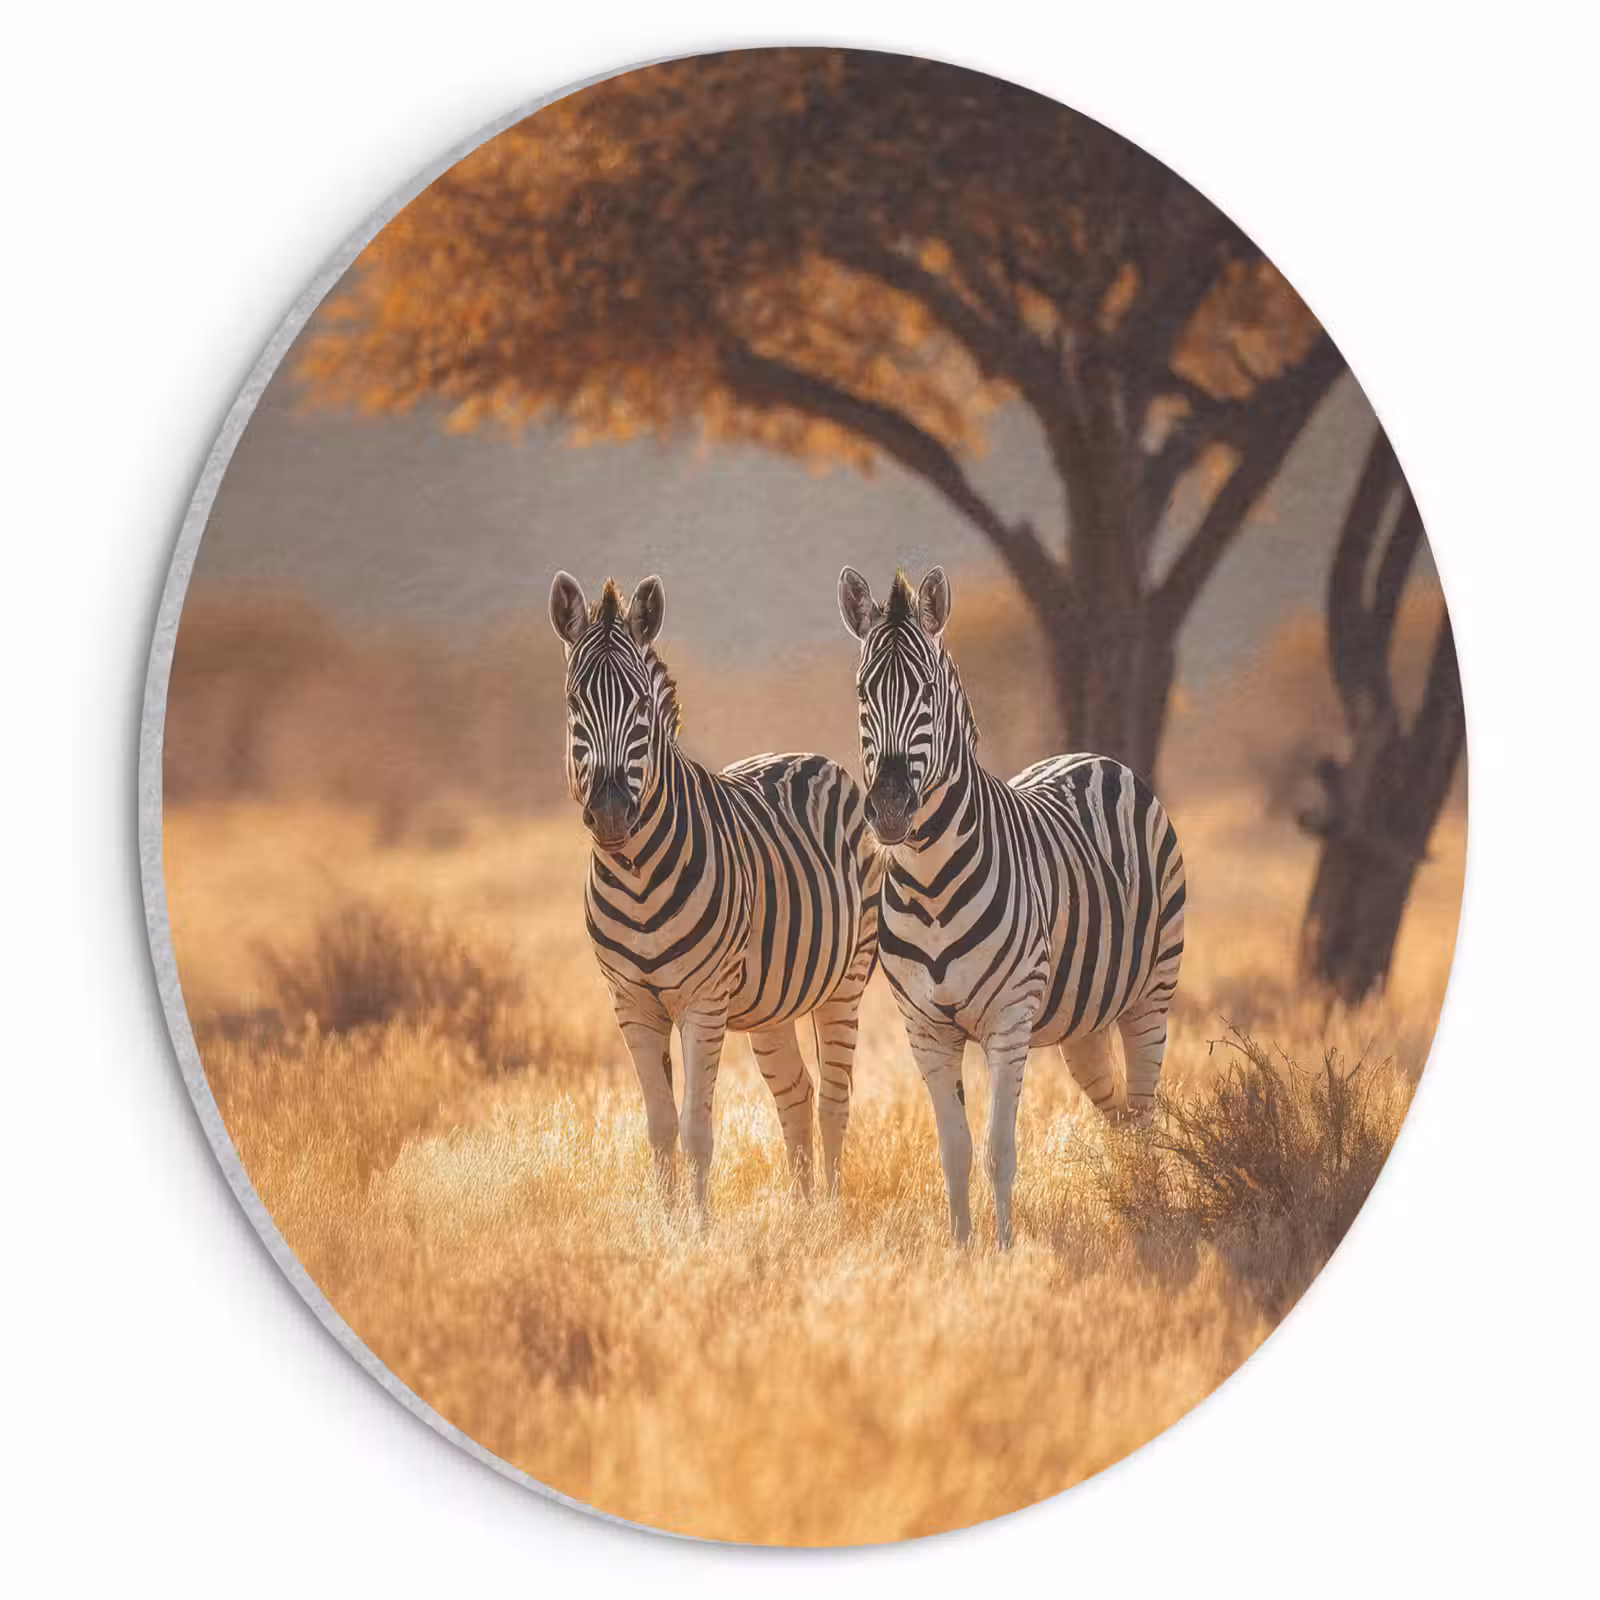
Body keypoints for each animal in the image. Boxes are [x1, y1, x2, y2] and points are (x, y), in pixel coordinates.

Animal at [550, 571, 881, 1211]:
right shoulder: (631, 1003)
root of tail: (809, 756)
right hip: (773, 999)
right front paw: (666, 1222)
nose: (610, 813)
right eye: (575, 705)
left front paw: (698, 1229)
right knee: (797, 1094)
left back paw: (830, 1214)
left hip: (846, 980)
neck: (637, 878)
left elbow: (695, 1129)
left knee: (834, 1101)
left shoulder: (702, 1001)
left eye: (641, 708)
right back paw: (801, 1217)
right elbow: (658, 1127)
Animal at [838, 566, 1186, 1247]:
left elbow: (999, 1149)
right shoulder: (925, 1029)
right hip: (1083, 1019)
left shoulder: (1008, 1018)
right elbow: (954, 1150)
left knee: (1145, 1112)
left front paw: (1003, 1252)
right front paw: (961, 1251)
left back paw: (1152, 1213)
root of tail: (1092, 757)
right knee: (1118, 1114)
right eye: (864, 692)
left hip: (1151, 995)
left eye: (927, 691)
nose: (889, 809)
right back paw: (1131, 1204)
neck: (930, 883)